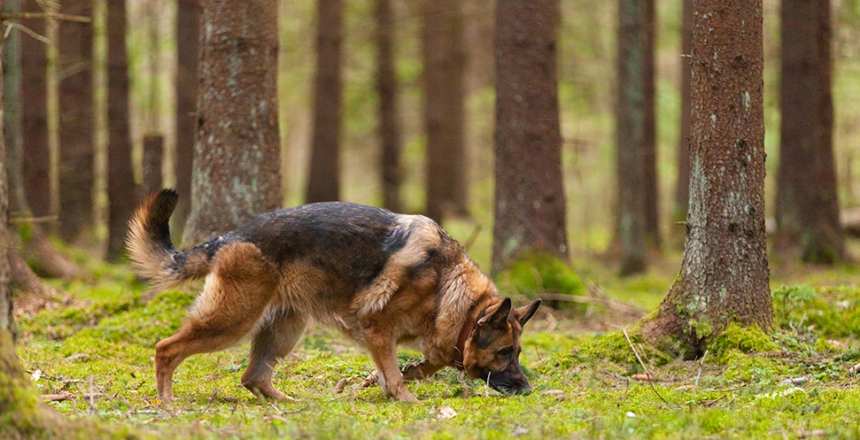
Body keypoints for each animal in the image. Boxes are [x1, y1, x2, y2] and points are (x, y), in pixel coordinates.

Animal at [124, 189, 540, 402]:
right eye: (505, 352)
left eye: (518, 352)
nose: (527, 389)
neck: (447, 284)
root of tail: (229, 237)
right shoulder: (377, 329)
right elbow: (395, 373)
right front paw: (405, 397)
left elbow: (430, 359)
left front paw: (409, 373)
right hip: (232, 321)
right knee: (166, 348)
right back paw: (166, 403)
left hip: (283, 331)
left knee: (252, 377)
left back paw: (293, 406)